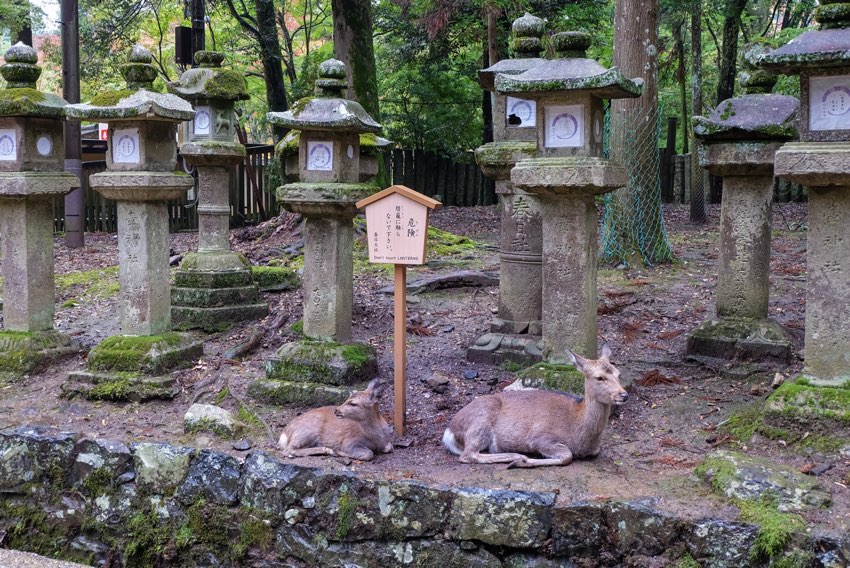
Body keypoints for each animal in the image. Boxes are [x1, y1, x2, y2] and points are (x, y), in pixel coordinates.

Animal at [440, 344, 628, 468]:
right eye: (599, 377)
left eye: (619, 374)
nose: (624, 395)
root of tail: (450, 431)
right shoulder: (540, 437)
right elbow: (567, 456)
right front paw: (522, 461)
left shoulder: (595, 449)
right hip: (481, 420)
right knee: (468, 454)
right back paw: (515, 456)